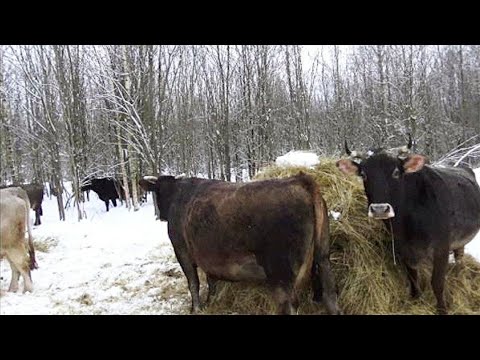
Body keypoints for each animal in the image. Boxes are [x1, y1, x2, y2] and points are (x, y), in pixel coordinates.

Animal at [139, 173, 342, 314]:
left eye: (157, 192)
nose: (159, 215)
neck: (179, 196)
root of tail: (300, 180)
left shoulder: (182, 251)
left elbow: (193, 283)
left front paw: (196, 308)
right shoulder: (209, 258)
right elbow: (212, 282)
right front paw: (211, 302)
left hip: (281, 273)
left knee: (289, 305)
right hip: (323, 258)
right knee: (330, 297)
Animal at [336, 139, 480, 314]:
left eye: (396, 172)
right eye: (363, 174)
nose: (379, 209)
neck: (408, 224)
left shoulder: (441, 248)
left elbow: (437, 282)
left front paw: (441, 309)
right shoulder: (403, 248)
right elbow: (412, 277)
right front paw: (416, 298)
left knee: (459, 258)